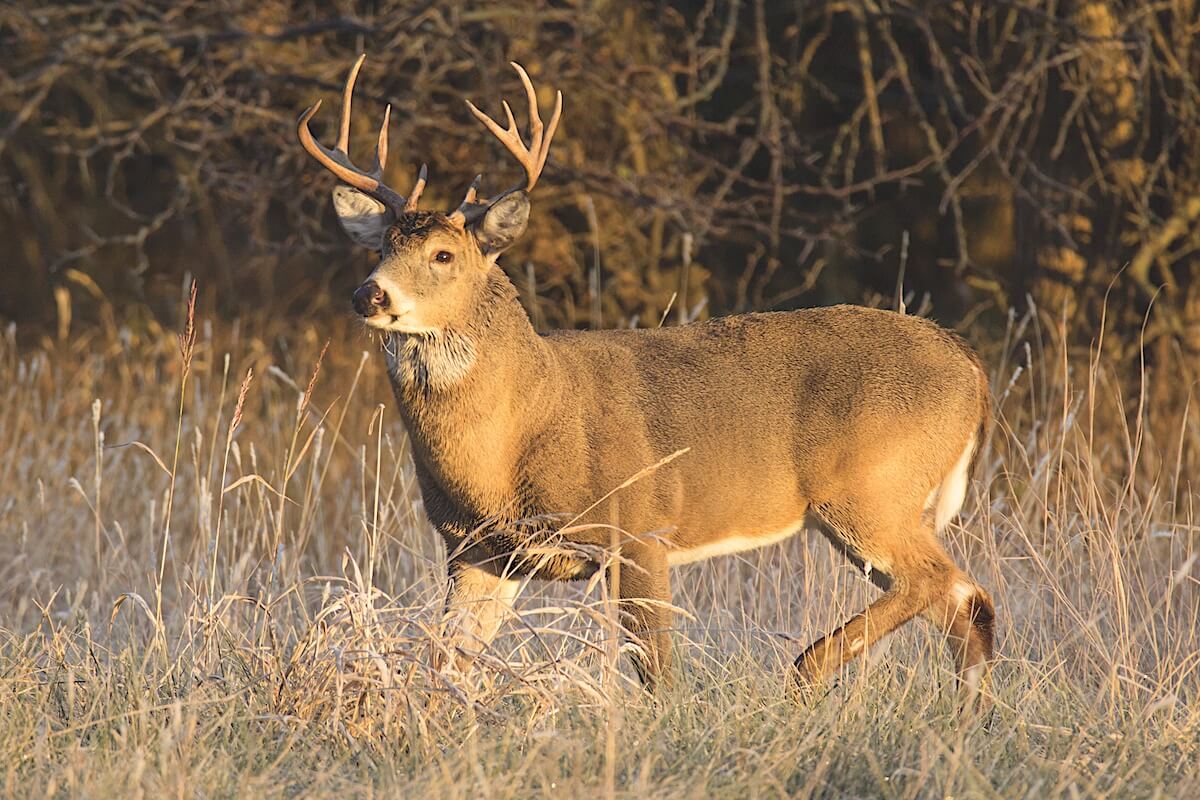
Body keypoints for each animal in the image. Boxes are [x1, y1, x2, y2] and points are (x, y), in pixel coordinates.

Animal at [297, 56, 993, 705]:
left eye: (443, 255)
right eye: (380, 248)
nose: (369, 294)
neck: (519, 428)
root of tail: (972, 367)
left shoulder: (636, 527)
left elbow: (659, 672)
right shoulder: (478, 549)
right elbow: (446, 663)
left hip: (873, 488)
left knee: (940, 584)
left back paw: (804, 673)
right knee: (968, 601)